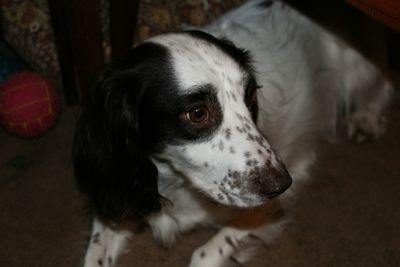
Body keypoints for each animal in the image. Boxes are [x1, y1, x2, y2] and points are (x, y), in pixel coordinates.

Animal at [72, 1, 394, 266]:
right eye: (198, 113)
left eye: (250, 95)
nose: (282, 183)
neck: (174, 181)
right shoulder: (118, 192)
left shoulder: (264, 210)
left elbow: (205, 253)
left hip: (360, 67)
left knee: (384, 82)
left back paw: (366, 117)